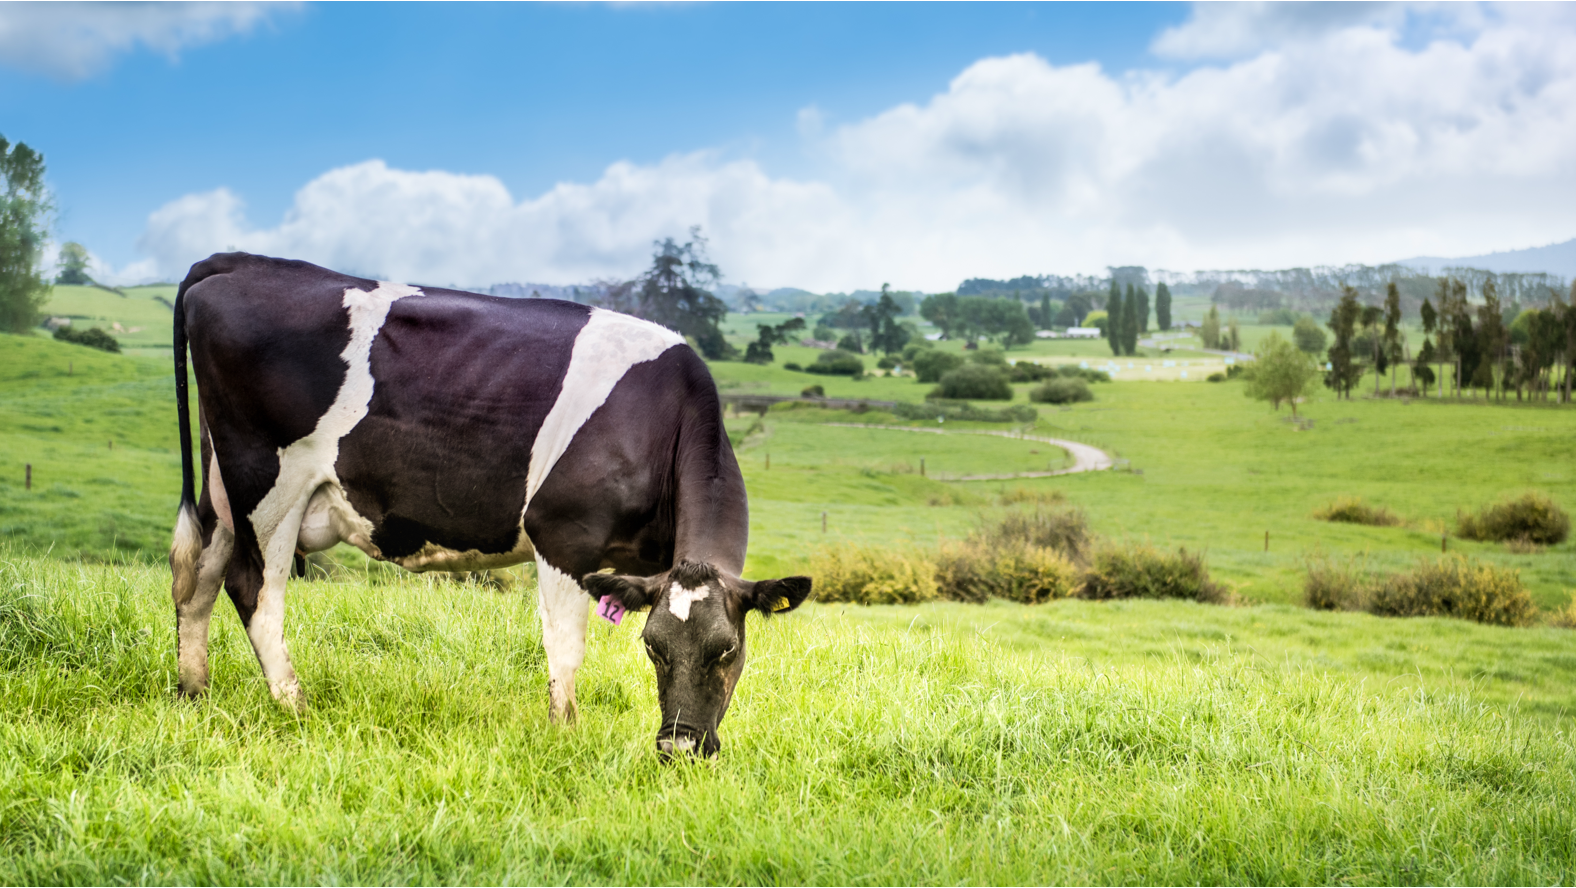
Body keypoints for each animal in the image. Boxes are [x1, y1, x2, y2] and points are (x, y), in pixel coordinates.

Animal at [168, 252, 811, 757]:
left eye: (727, 649)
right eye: (653, 648)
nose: (679, 747)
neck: (658, 420)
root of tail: (238, 263)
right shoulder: (563, 536)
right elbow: (565, 650)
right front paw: (564, 736)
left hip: (224, 486)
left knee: (196, 578)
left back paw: (194, 693)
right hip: (269, 485)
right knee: (255, 592)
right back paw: (295, 708)